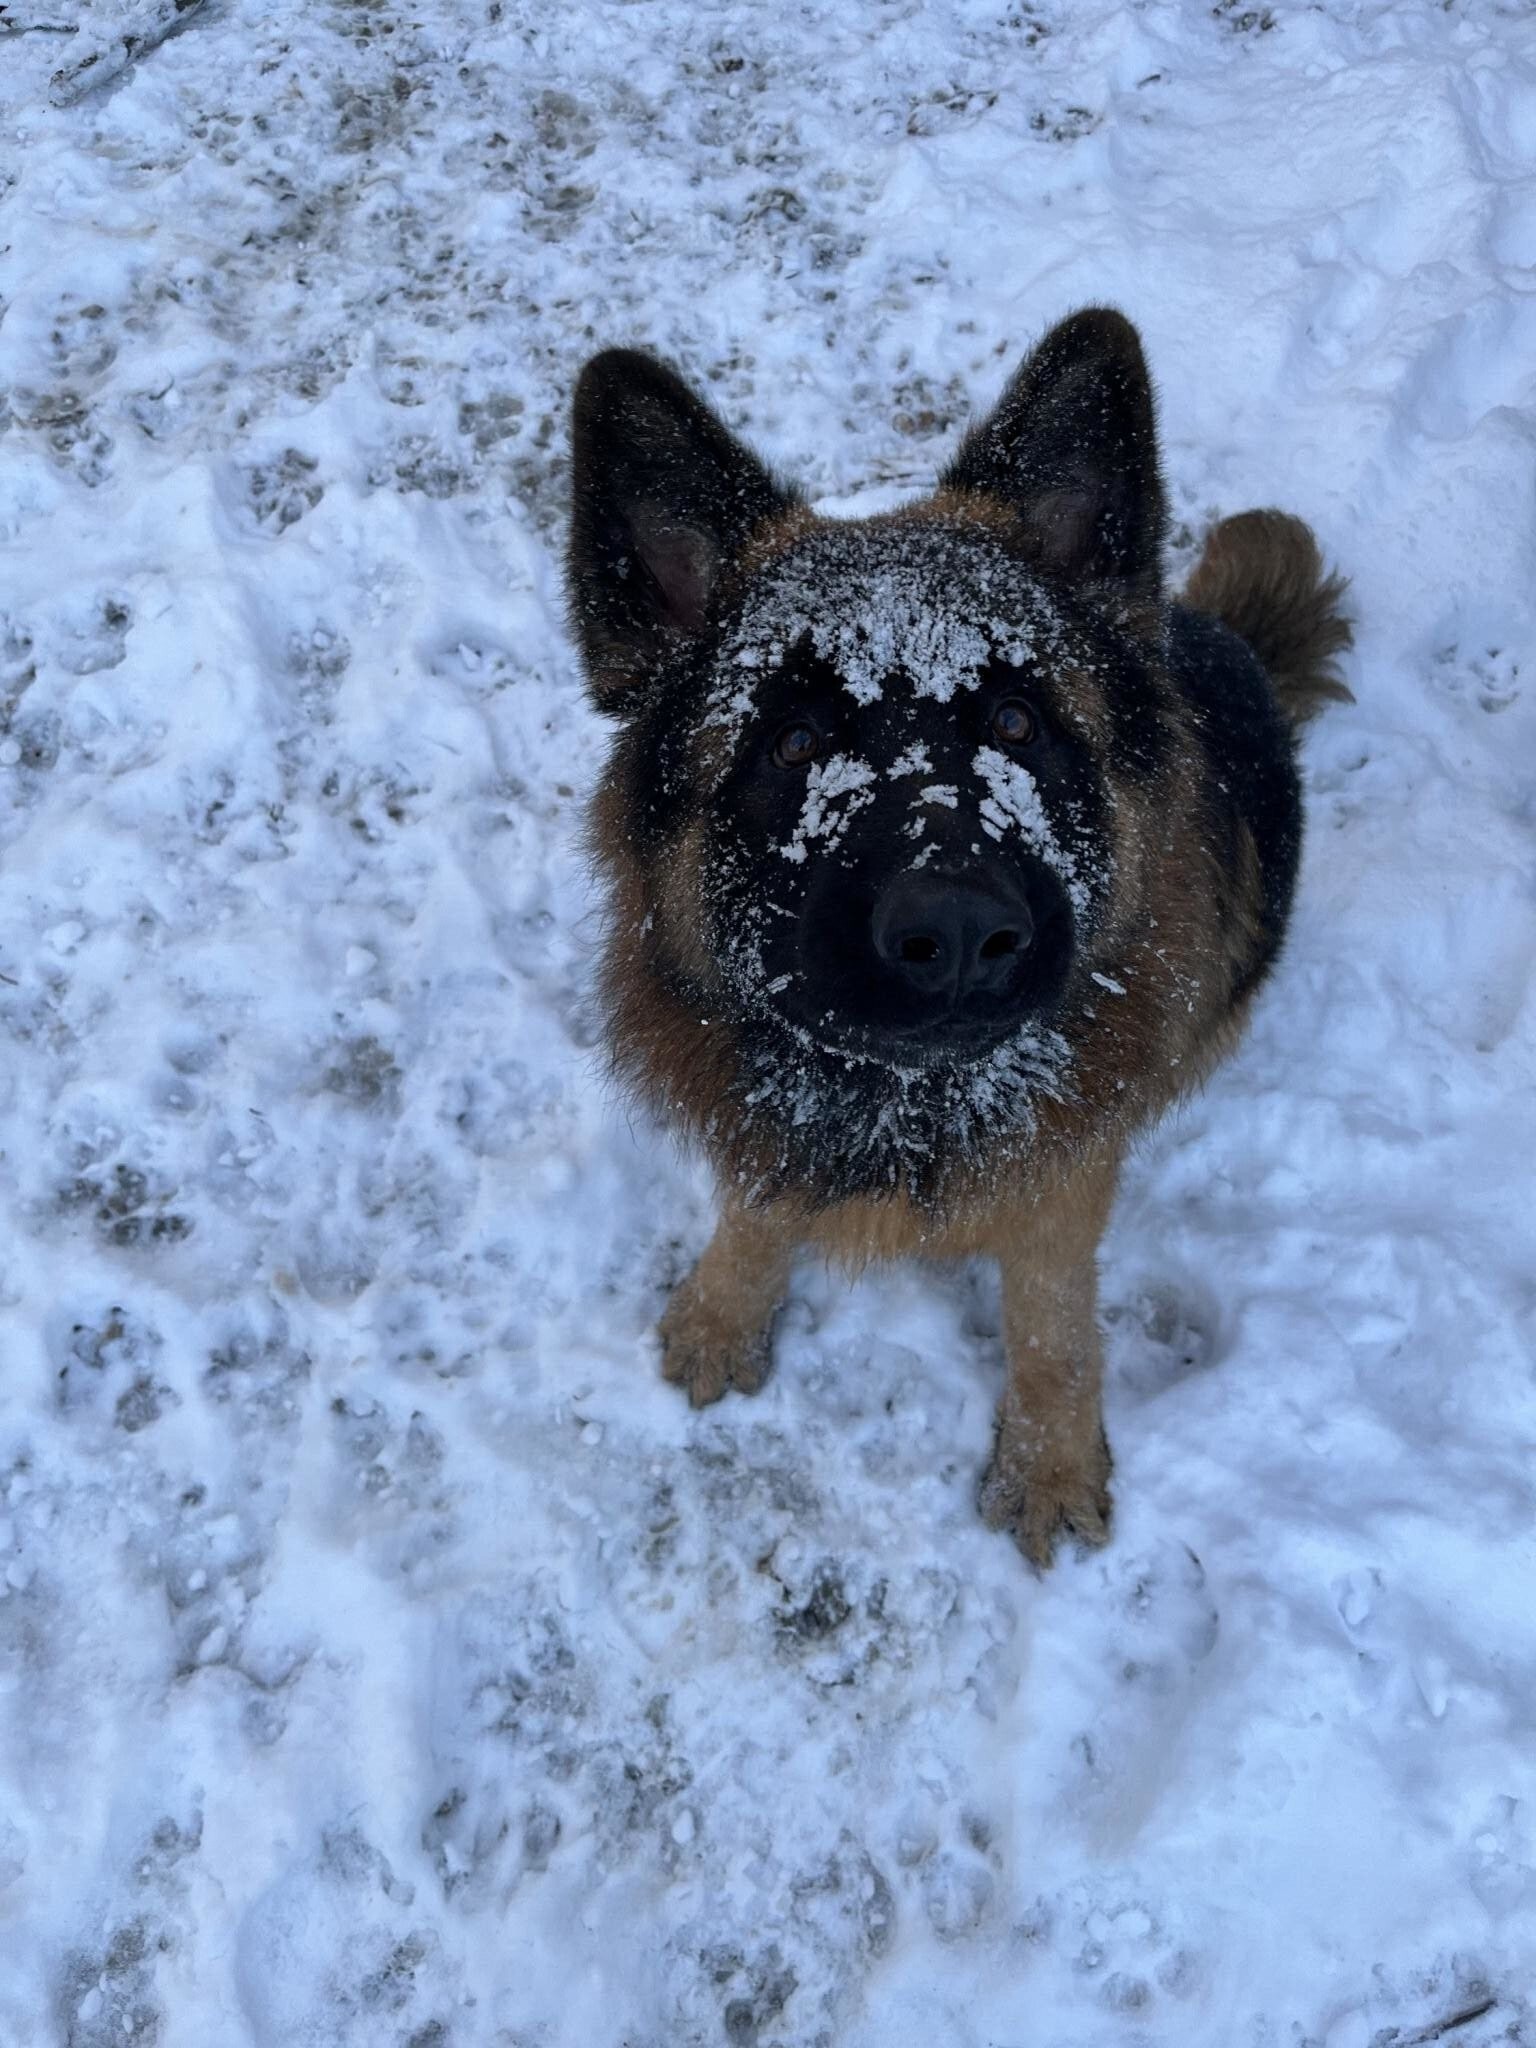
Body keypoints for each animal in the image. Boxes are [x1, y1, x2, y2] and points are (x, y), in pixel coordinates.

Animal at [573, 311, 1351, 1564]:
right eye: (794, 742)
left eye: (1017, 722)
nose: (958, 928)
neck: (908, 1108)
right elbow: (757, 1203)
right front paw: (724, 1311)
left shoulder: (1067, 1175)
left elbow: (1054, 1319)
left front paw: (1046, 1465)